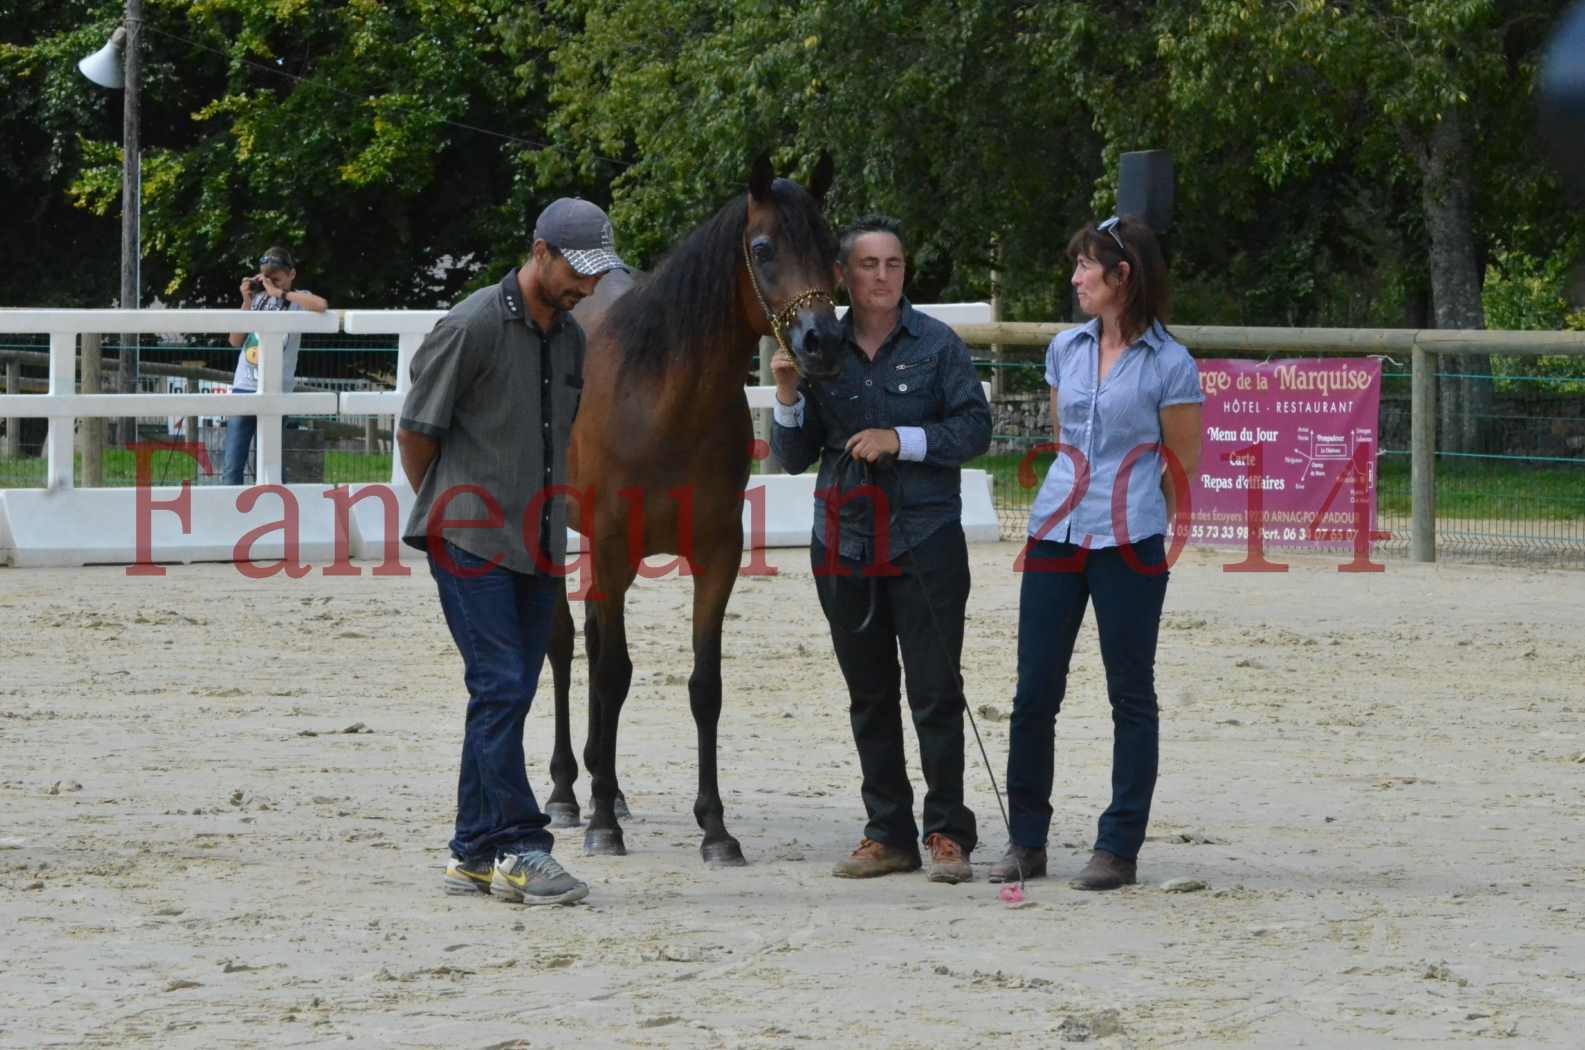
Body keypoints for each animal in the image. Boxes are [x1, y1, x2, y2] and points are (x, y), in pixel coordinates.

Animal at [542, 154, 843, 862]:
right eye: (763, 249)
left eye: (831, 248)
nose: (821, 341)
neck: (662, 401)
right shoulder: (616, 548)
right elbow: (613, 673)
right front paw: (603, 825)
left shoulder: (716, 556)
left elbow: (705, 686)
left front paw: (715, 827)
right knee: (565, 645)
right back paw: (569, 792)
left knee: (589, 636)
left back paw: (606, 781)